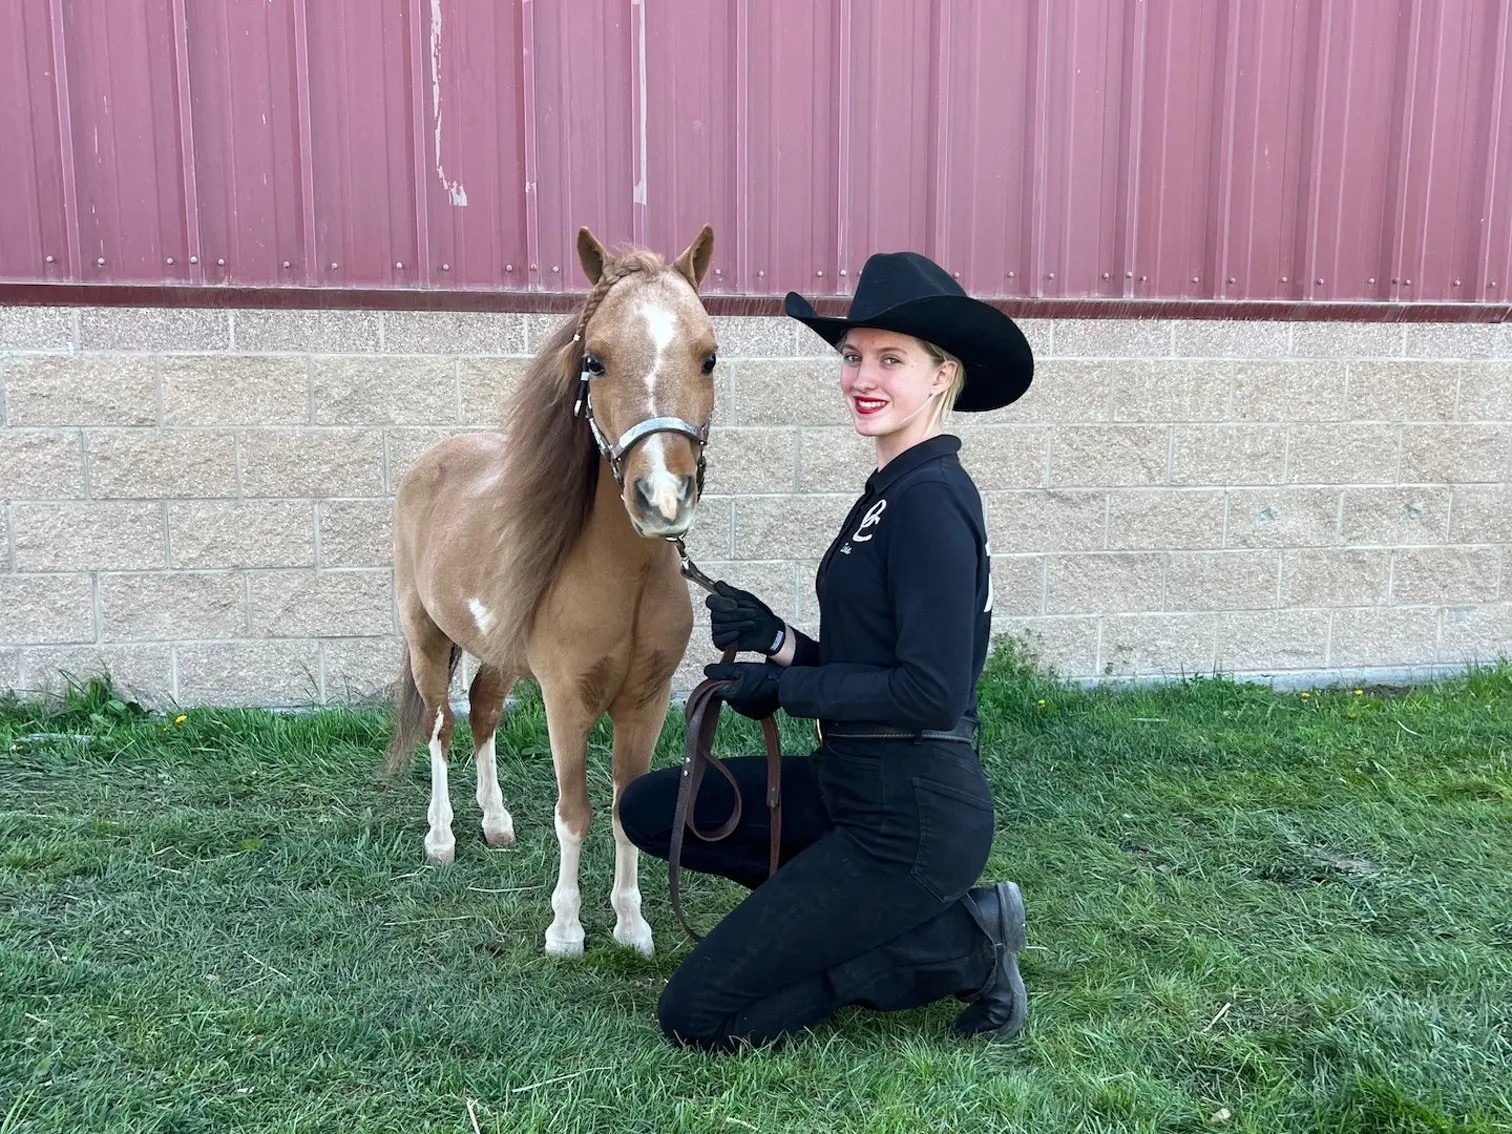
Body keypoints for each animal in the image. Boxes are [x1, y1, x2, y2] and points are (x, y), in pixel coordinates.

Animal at [387, 226, 722, 961]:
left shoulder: (645, 702)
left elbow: (624, 807)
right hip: (426, 637)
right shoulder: (566, 701)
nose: (662, 500)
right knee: (441, 724)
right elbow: (574, 812)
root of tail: (432, 460)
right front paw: (566, 930)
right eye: (593, 361)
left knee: (483, 713)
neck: (623, 581)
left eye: (709, 358)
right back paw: (442, 837)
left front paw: (631, 926)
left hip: (501, 654)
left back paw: (496, 822)